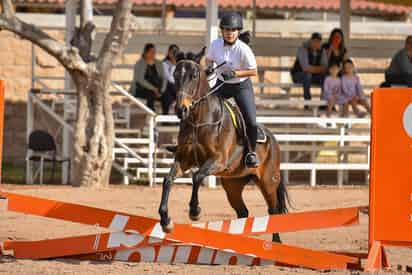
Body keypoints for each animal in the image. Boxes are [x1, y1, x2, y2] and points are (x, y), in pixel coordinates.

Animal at [159, 48, 290, 243]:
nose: (181, 109)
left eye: (194, 75)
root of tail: (273, 140)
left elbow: (197, 177)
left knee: (273, 210)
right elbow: (168, 180)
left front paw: (195, 211)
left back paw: (277, 242)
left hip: (268, 182)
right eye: (175, 74)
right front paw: (165, 221)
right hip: (232, 185)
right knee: (243, 212)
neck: (199, 120)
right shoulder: (184, 159)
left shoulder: (218, 161)